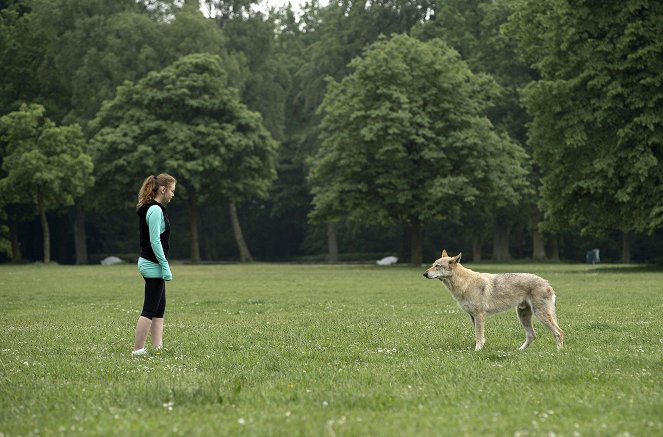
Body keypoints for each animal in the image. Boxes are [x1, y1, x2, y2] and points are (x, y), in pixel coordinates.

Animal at [422, 249, 564, 350]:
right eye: (432, 264)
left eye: (437, 266)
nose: (424, 274)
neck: (465, 284)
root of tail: (547, 283)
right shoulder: (473, 316)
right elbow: (479, 336)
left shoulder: (479, 315)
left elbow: (479, 336)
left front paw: (477, 351)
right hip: (523, 315)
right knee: (532, 335)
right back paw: (519, 351)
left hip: (540, 315)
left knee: (559, 332)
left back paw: (559, 352)